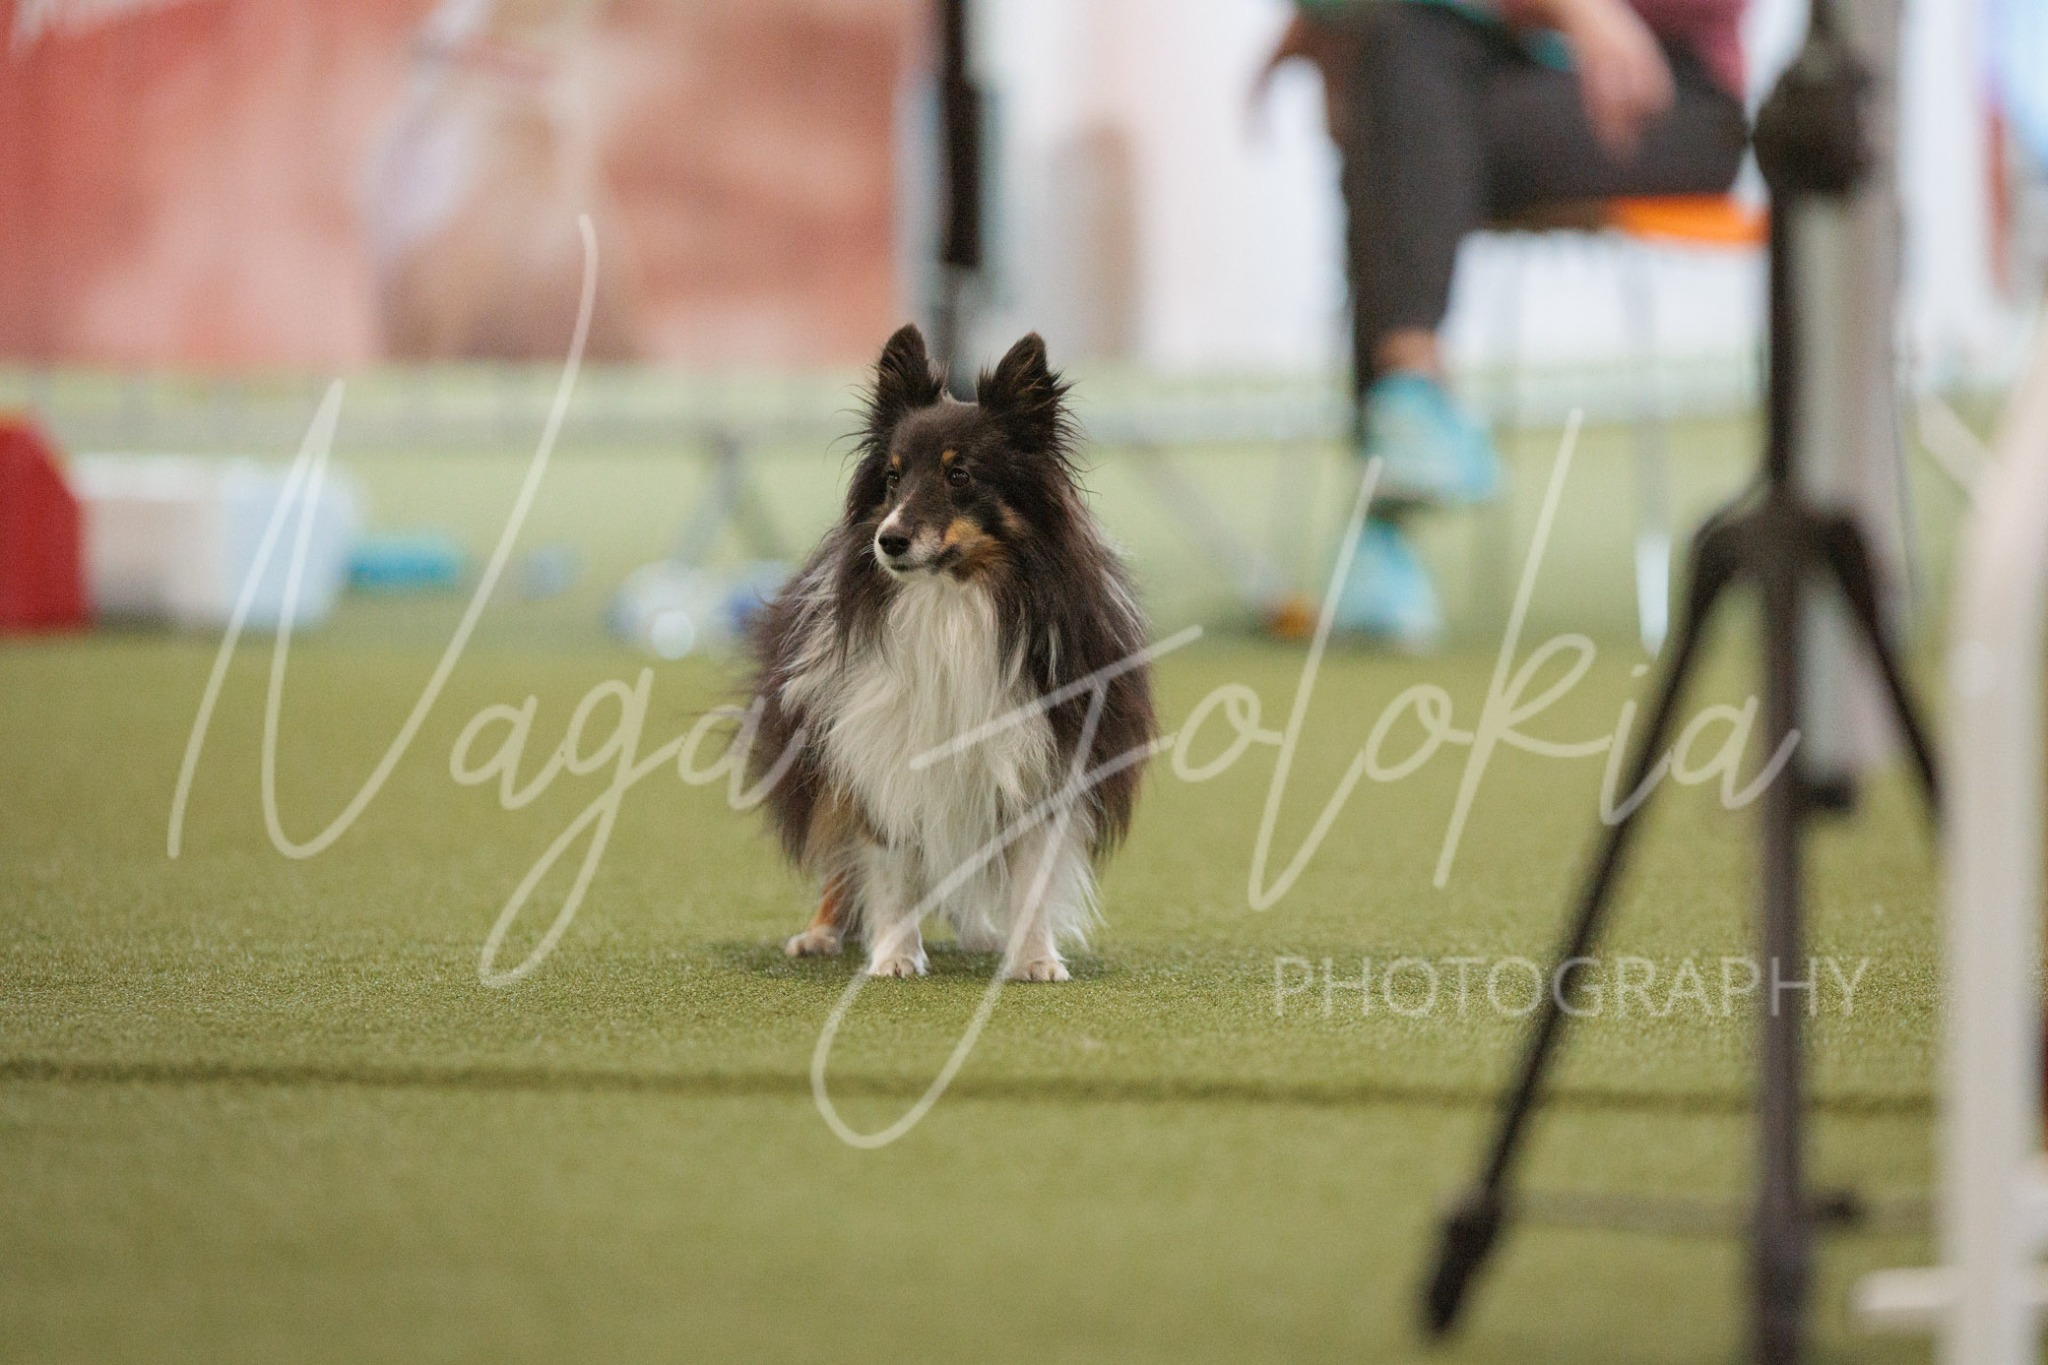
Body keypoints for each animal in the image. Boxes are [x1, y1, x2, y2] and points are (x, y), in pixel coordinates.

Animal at [745, 324, 1155, 982]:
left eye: (959, 475)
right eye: (892, 478)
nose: (888, 540)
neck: (953, 600)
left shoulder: (1040, 758)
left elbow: (1030, 878)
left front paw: (1034, 959)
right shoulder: (880, 749)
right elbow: (890, 867)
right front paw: (894, 956)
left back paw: (983, 935)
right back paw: (822, 933)